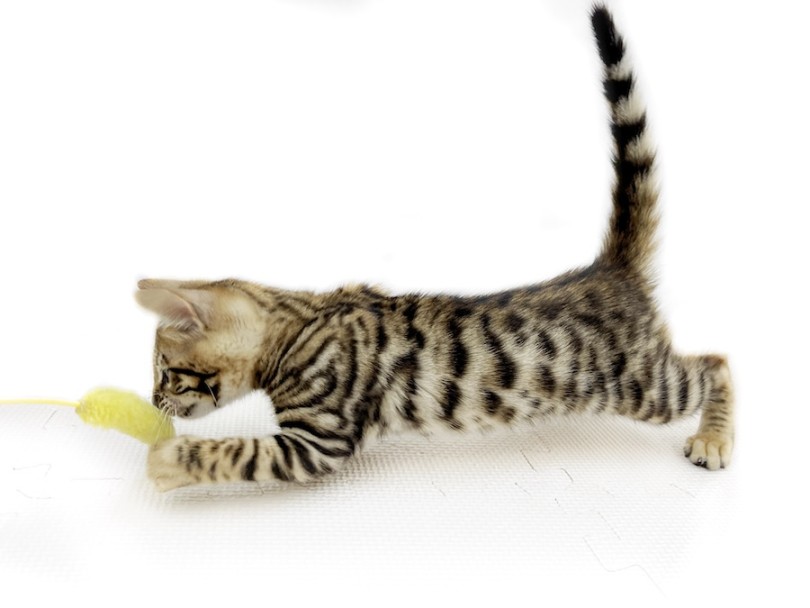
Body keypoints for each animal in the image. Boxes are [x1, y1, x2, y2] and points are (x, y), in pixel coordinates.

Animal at [137, 5, 734, 491]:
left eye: (165, 372)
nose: (154, 402)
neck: (297, 324)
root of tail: (609, 269)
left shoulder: (318, 440)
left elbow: (234, 452)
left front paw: (168, 462)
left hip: (640, 385)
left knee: (715, 364)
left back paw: (714, 439)